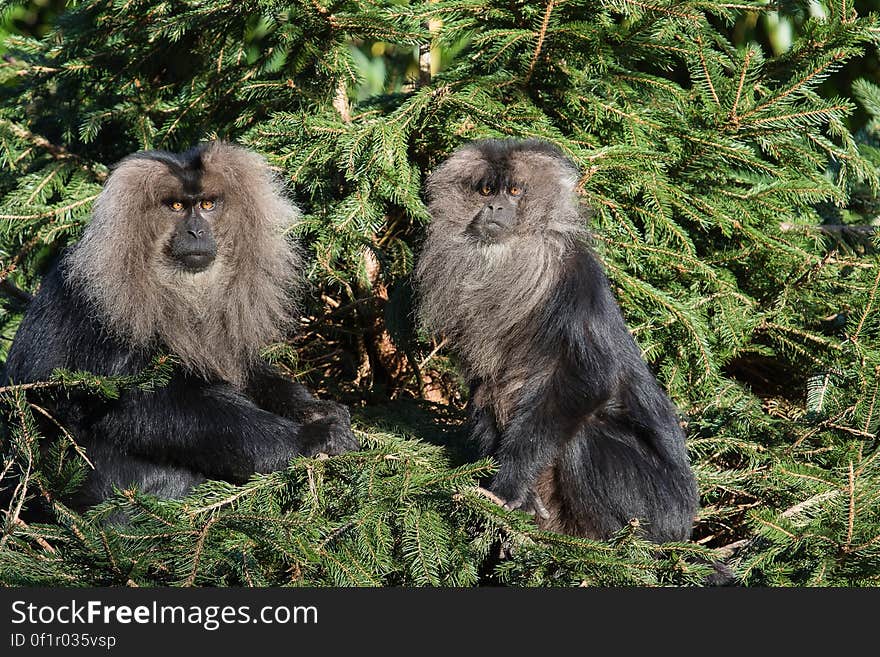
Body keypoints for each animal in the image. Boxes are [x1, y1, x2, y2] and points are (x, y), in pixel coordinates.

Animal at [3, 141, 360, 510]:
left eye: (207, 204)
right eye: (175, 206)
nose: (196, 231)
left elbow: (246, 372)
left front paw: (313, 409)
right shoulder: (107, 307)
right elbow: (137, 407)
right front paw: (311, 438)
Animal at [416, 138, 696, 544]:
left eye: (514, 192)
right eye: (486, 190)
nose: (494, 207)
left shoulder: (573, 283)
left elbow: (588, 380)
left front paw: (510, 484)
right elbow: (485, 386)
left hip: (659, 509)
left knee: (584, 436)